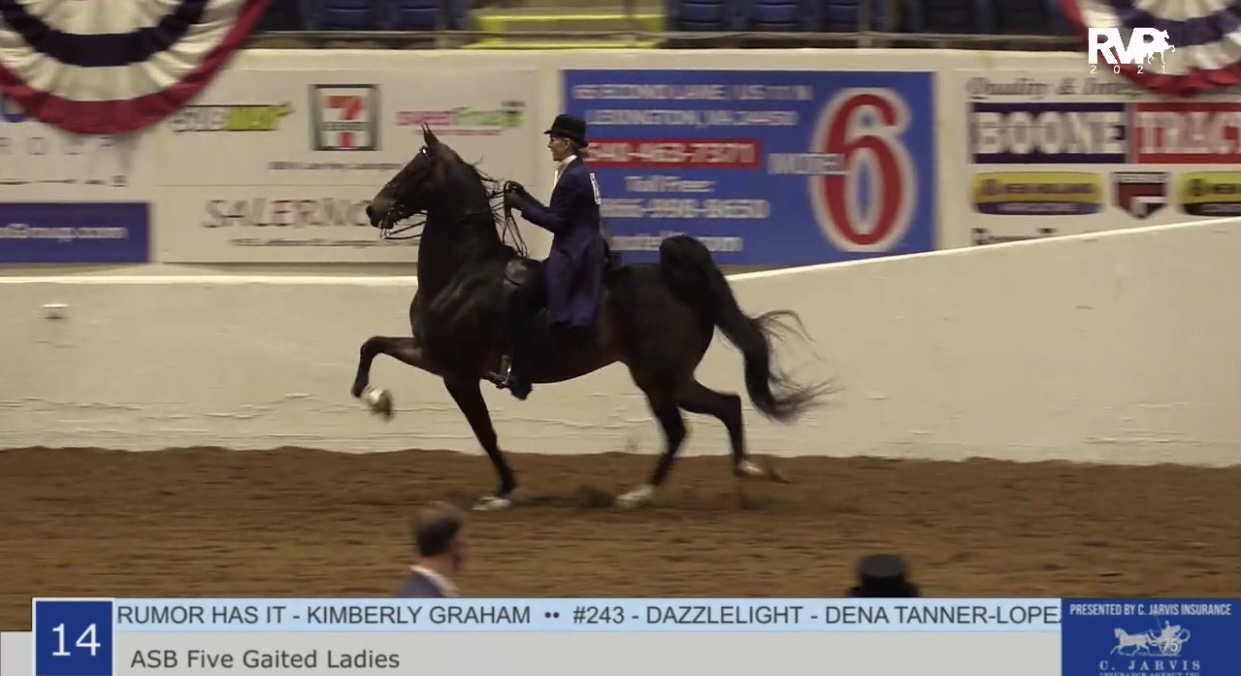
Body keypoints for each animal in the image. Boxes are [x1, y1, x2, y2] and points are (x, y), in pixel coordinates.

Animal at [351, 125, 830, 511]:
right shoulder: (432, 355)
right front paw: (375, 398)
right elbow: (371, 344)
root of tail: (677, 283)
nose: (373, 209)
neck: (462, 272)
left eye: (415, 170)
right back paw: (657, 491)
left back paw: (718, 477)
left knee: (708, 414)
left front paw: (502, 492)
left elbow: (486, 434)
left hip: (663, 378)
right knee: (694, 423)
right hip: (659, 380)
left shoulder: (458, 374)